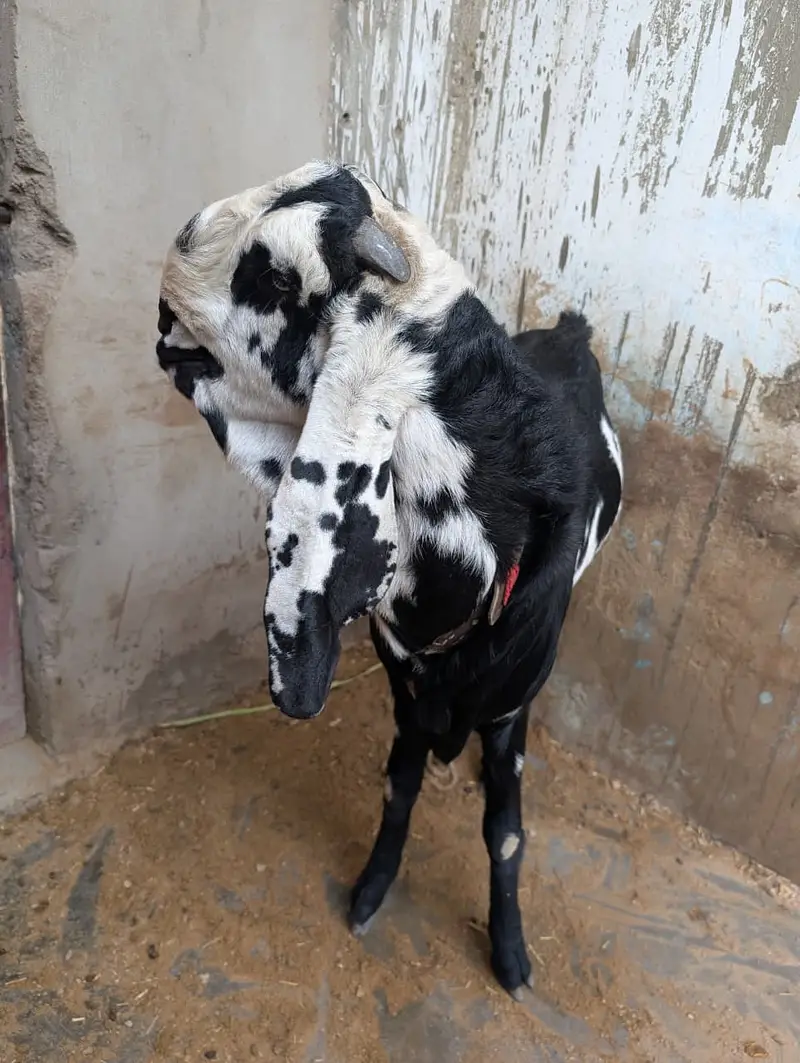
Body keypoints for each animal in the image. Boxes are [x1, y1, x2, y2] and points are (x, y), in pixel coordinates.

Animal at [155, 161, 623, 997]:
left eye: (278, 275)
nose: (177, 244)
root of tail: (569, 329)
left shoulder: (509, 718)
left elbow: (506, 834)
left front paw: (511, 955)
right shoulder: (405, 692)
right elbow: (396, 789)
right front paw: (371, 890)